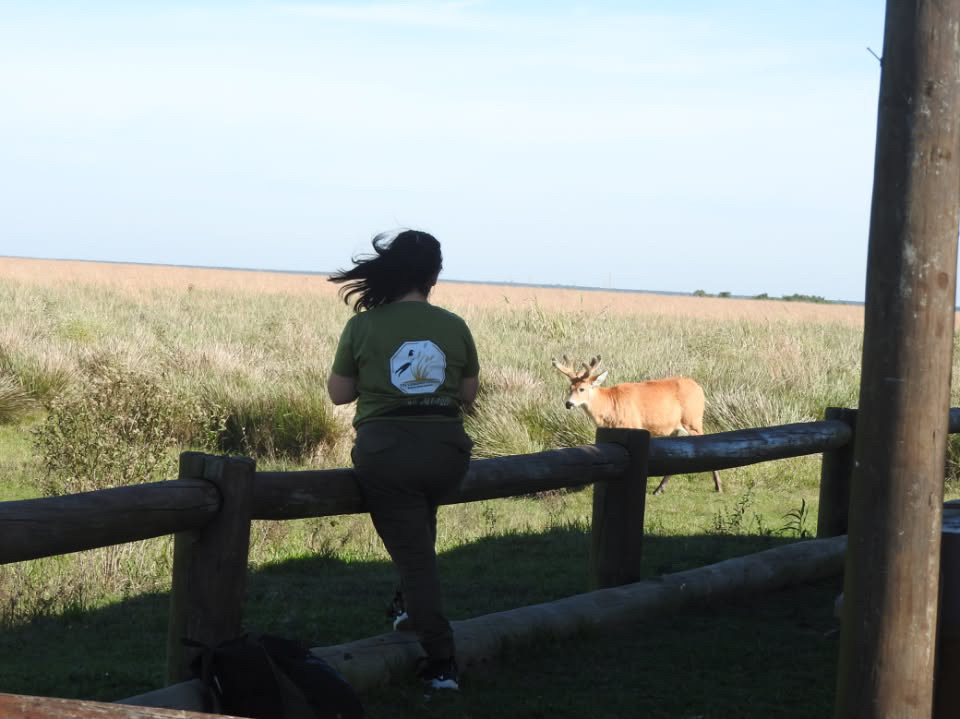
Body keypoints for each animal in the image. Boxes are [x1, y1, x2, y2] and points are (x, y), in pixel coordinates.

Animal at [551, 355, 722, 495]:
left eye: (582, 389)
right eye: (569, 388)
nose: (568, 404)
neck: (609, 404)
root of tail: (700, 388)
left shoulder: (633, 424)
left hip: (693, 419)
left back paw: (718, 485)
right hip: (678, 427)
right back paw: (659, 489)